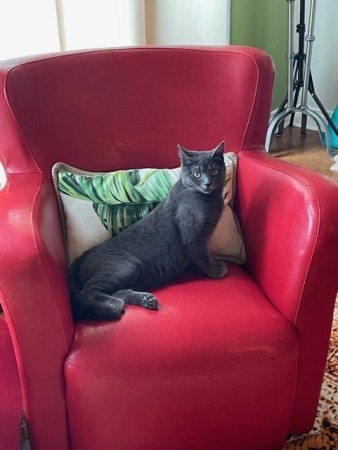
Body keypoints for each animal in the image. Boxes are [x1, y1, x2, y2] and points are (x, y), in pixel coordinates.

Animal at [68, 142, 227, 320]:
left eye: (215, 172)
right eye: (197, 174)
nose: (207, 183)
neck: (210, 200)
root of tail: (81, 258)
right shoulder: (194, 237)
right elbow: (203, 256)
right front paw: (216, 270)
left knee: (116, 291)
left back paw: (146, 300)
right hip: (123, 266)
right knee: (89, 291)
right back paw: (114, 305)